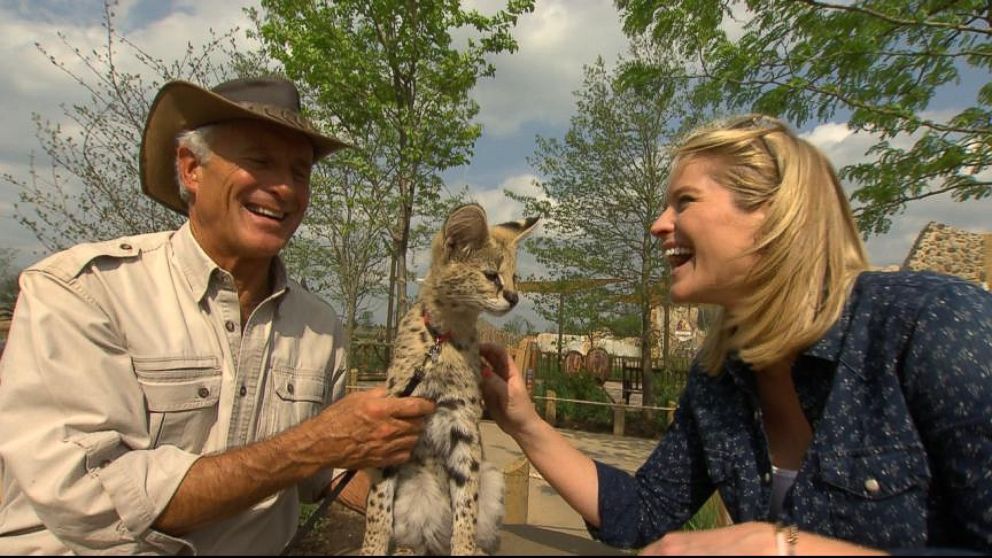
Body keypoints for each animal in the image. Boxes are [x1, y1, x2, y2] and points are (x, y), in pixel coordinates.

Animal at [360, 205, 540, 556]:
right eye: (491, 275)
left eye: (515, 277)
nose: (514, 297)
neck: (442, 338)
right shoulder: (395, 421)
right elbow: (378, 504)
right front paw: (371, 548)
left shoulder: (463, 425)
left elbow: (466, 507)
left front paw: (465, 548)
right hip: (415, 489)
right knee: (419, 535)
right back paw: (408, 548)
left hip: (492, 476)